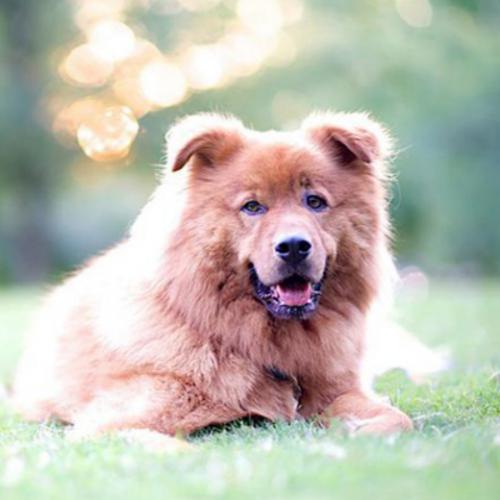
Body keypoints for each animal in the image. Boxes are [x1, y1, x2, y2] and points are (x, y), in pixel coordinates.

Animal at [13, 111, 413, 439]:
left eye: (315, 202)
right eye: (252, 207)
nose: (294, 246)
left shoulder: (339, 392)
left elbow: (400, 420)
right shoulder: (116, 422)